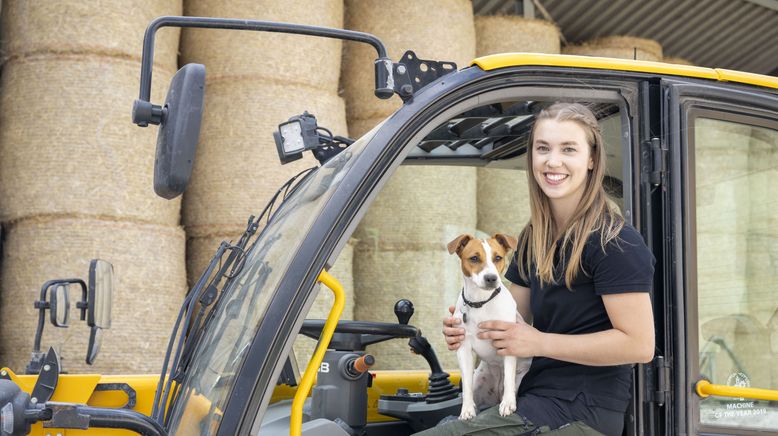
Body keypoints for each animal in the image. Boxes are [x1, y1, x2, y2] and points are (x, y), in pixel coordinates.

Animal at [446, 233, 532, 420]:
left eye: (498, 257)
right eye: (474, 258)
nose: (491, 278)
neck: (481, 302)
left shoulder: (508, 342)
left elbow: (509, 379)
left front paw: (508, 404)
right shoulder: (463, 348)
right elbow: (466, 385)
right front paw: (467, 410)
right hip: (480, 380)